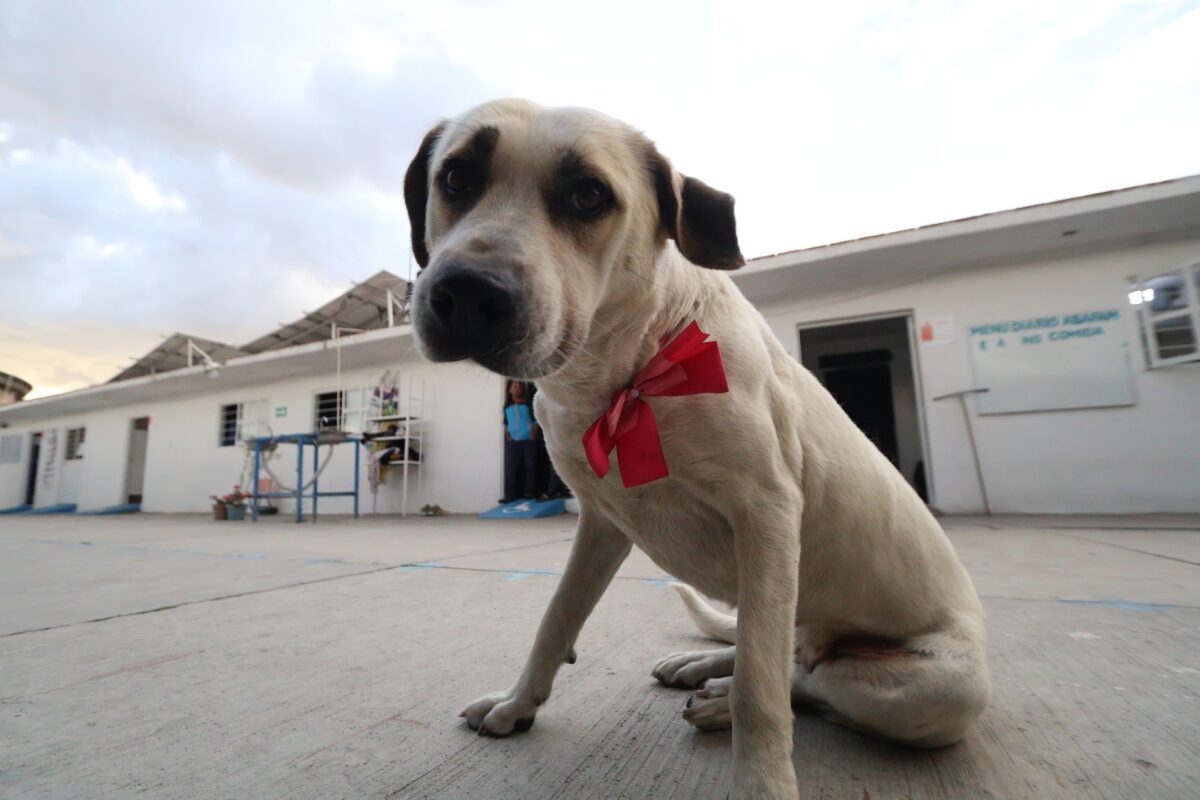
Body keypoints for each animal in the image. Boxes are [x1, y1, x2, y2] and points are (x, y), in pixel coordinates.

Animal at [403, 100, 984, 800]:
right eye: (456, 177)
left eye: (588, 195)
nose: (466, 293)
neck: (626, 371)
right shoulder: (602, 523)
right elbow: (556, 619)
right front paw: (519, 706)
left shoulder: (767, 517)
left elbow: (760, 693)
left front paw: (763, 783)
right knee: (780, 658)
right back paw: (702, 669)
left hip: (940, 690)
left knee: (800, 679)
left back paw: (717, 698)